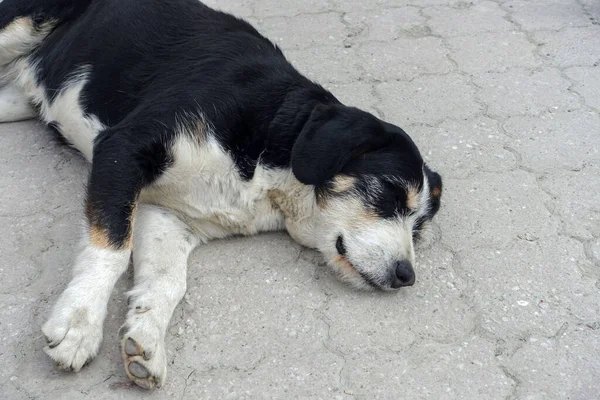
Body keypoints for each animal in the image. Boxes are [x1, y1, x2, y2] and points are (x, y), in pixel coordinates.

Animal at [0, 0, 442, 390]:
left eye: (418, 229)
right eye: (391, 193)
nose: (406, 276)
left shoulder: (166, 215)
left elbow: (167, 281)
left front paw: (145, 340)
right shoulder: (123, 148)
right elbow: (110, 250)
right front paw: (80, 323)